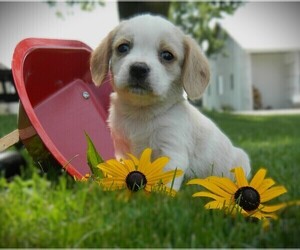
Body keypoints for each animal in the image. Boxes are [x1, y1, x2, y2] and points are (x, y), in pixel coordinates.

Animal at [89, 14, 251, 189]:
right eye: (123, 48)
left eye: (167, 55)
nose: (138, 68)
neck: (140, 113)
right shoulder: (122, 151)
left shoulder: (171, 151)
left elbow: (166, 182)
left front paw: (161, 194)